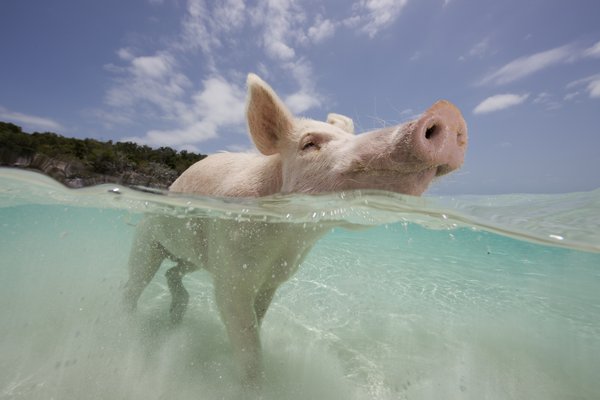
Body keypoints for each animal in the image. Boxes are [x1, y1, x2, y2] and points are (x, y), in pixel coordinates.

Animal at [122, 73, 468, 386]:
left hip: (196, 256)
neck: (289, 235)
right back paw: (130, 325)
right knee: (136, 282)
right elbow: (246, 340)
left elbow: (258, 318)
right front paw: (251, 385)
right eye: (309, 144)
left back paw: (175, 317)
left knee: (173, 272)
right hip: (148, 236)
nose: (447, 112)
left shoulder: (274, 276)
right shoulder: (232, 269)